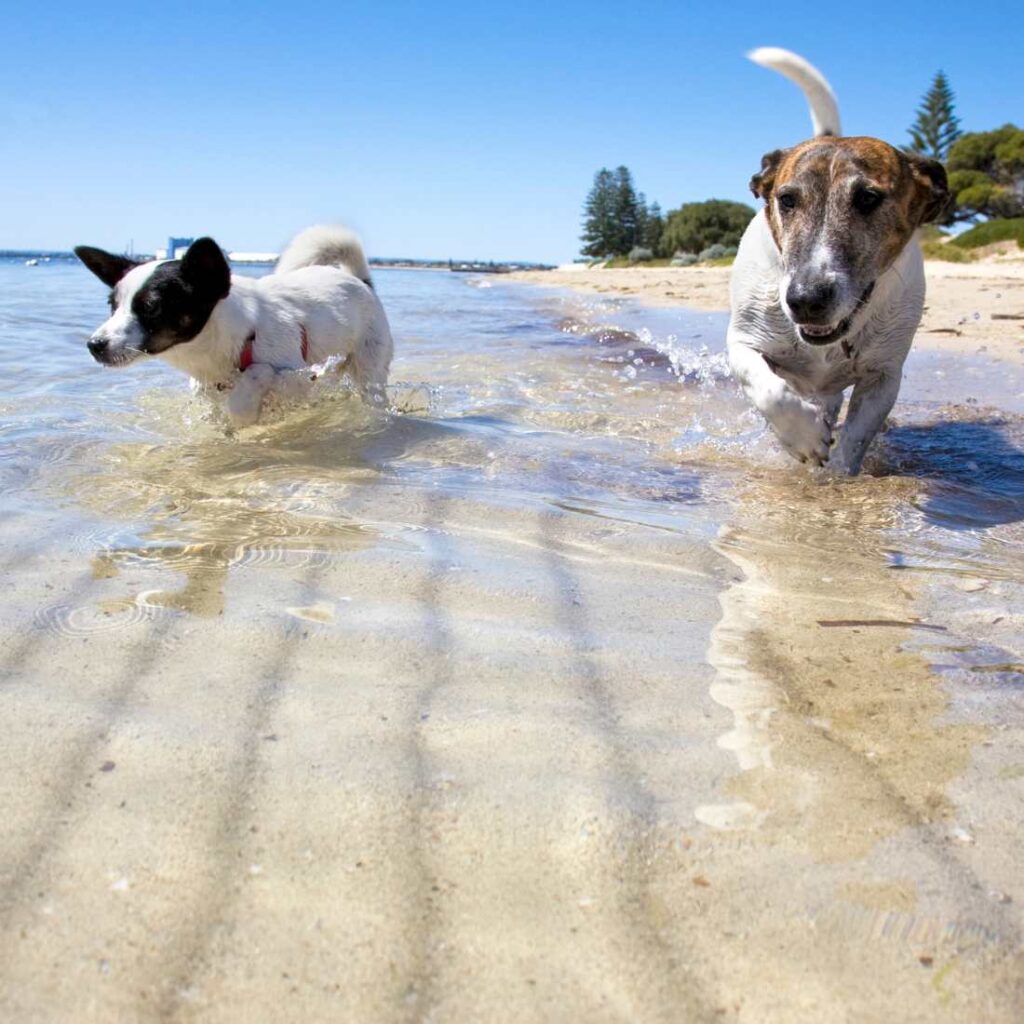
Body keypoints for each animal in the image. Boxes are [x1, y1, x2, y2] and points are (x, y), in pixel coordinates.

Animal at [75, 226, 393, 425]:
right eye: (112, 305)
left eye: (152, 306)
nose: (94, 345)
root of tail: (360, 280)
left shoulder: (300, 378)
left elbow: (252, 384)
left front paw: (244, 410)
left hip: (369, 372)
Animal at [724, 49, 946, 473]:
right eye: (786, 200)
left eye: (868, 198)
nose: (806, 300)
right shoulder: (744, 341)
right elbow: (768, 389)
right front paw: (804, 437)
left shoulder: (883, 376)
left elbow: (856, 437)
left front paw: (837, 478)